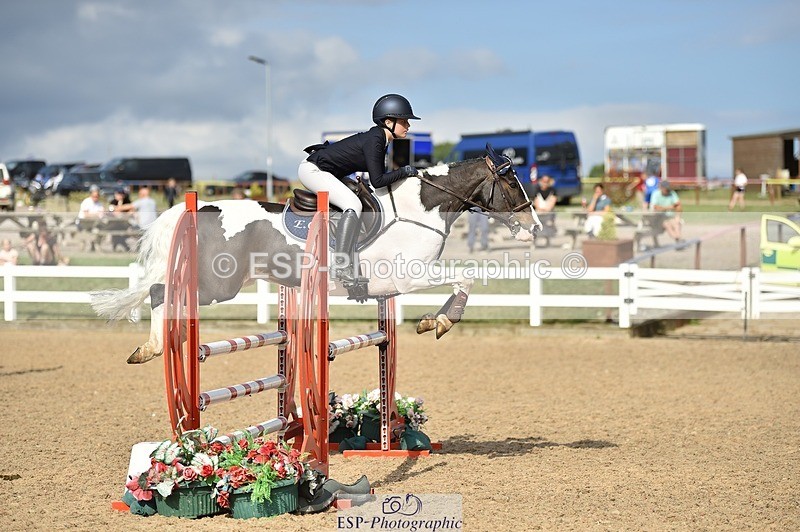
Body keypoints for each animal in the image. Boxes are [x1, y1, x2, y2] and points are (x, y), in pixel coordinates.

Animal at [91, 145, 542, 364]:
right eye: (513, 183)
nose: (535, 227)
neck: (421, 208)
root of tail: (197, 209)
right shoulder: (407, 276)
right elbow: (465, 276)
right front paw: (442, 321)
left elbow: (462, 279)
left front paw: (432, 320)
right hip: (219, 284)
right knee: (159, 292)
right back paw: (153, 346)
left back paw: (156, 345)